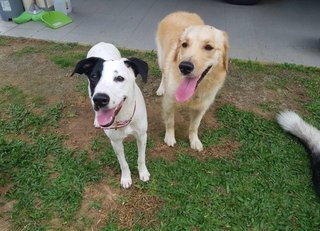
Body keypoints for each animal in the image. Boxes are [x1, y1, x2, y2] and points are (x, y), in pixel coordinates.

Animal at [73, 42, 151, 189]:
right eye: (94, 76)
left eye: (119, 78)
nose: (99, 99)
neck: (122, 118)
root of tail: (101, 43)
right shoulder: (115, 142)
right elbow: (123, 163)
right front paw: (126, 178)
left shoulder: (142, 136)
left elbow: (141, 158)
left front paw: (143, 172)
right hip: (89, 92)